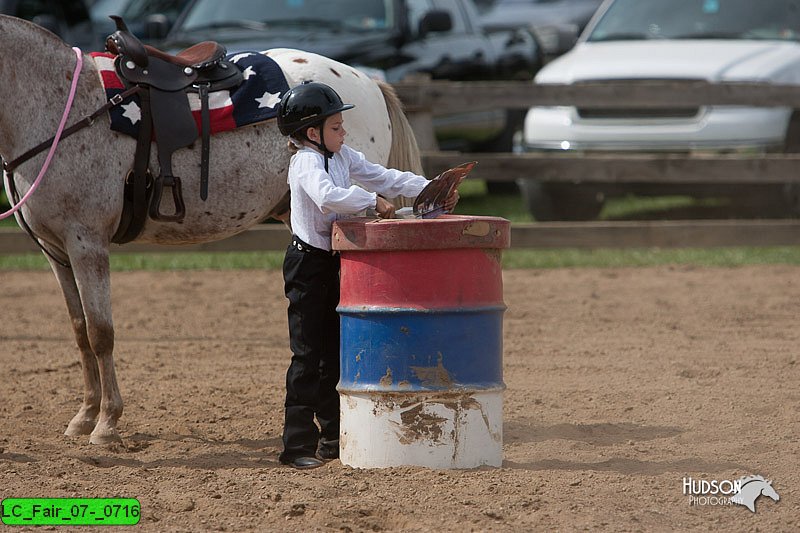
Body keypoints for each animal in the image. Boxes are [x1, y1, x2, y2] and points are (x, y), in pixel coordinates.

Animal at [0, 15, 424, 444]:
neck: (62, 109)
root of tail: (368, 82)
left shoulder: (87, 243)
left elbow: (102, 333)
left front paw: (106, 424)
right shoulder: (57, 251)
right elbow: (80, 332)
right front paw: (84, 417)